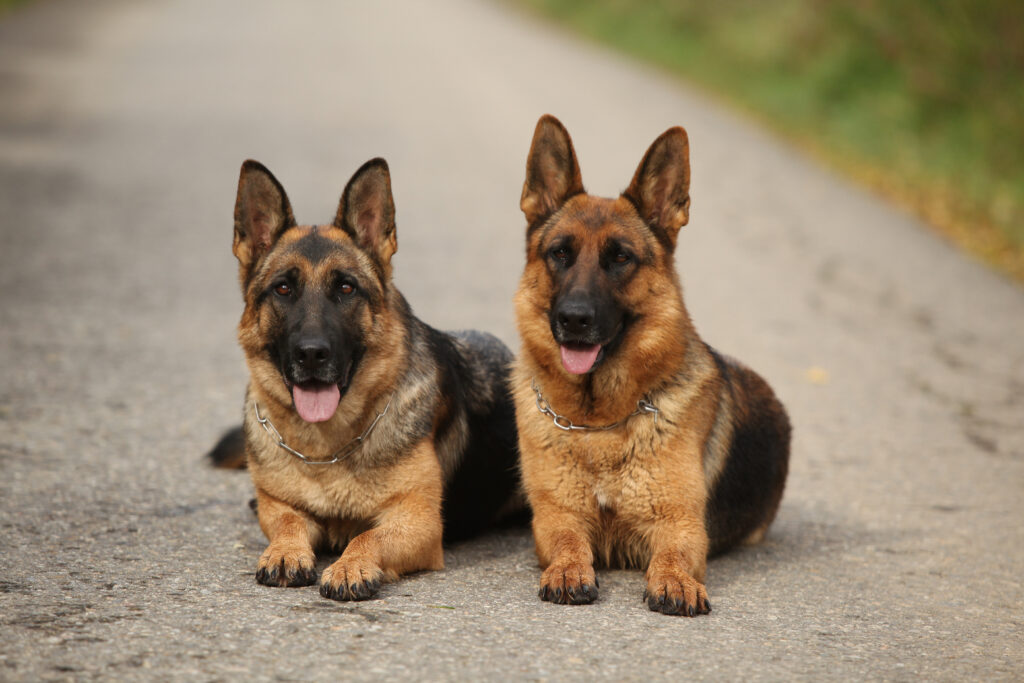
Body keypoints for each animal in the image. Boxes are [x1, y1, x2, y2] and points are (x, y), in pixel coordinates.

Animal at [215, 157, 520, 602]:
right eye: (283, 288)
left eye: (346, 288)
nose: (312, 354)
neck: (326, 450)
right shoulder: (280, 506)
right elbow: (287, 521)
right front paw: (285, 551)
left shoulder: (419, 521)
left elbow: (368, 536)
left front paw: (350, 566)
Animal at [512, 114, 790, 618]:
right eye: (560, 253)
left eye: (620, 257)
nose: (574, 319)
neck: (596, 423)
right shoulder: (556, 516)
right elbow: (567, 543)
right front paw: (568, 570)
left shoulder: (682, 524)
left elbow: (674, 554)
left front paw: (675, 581)